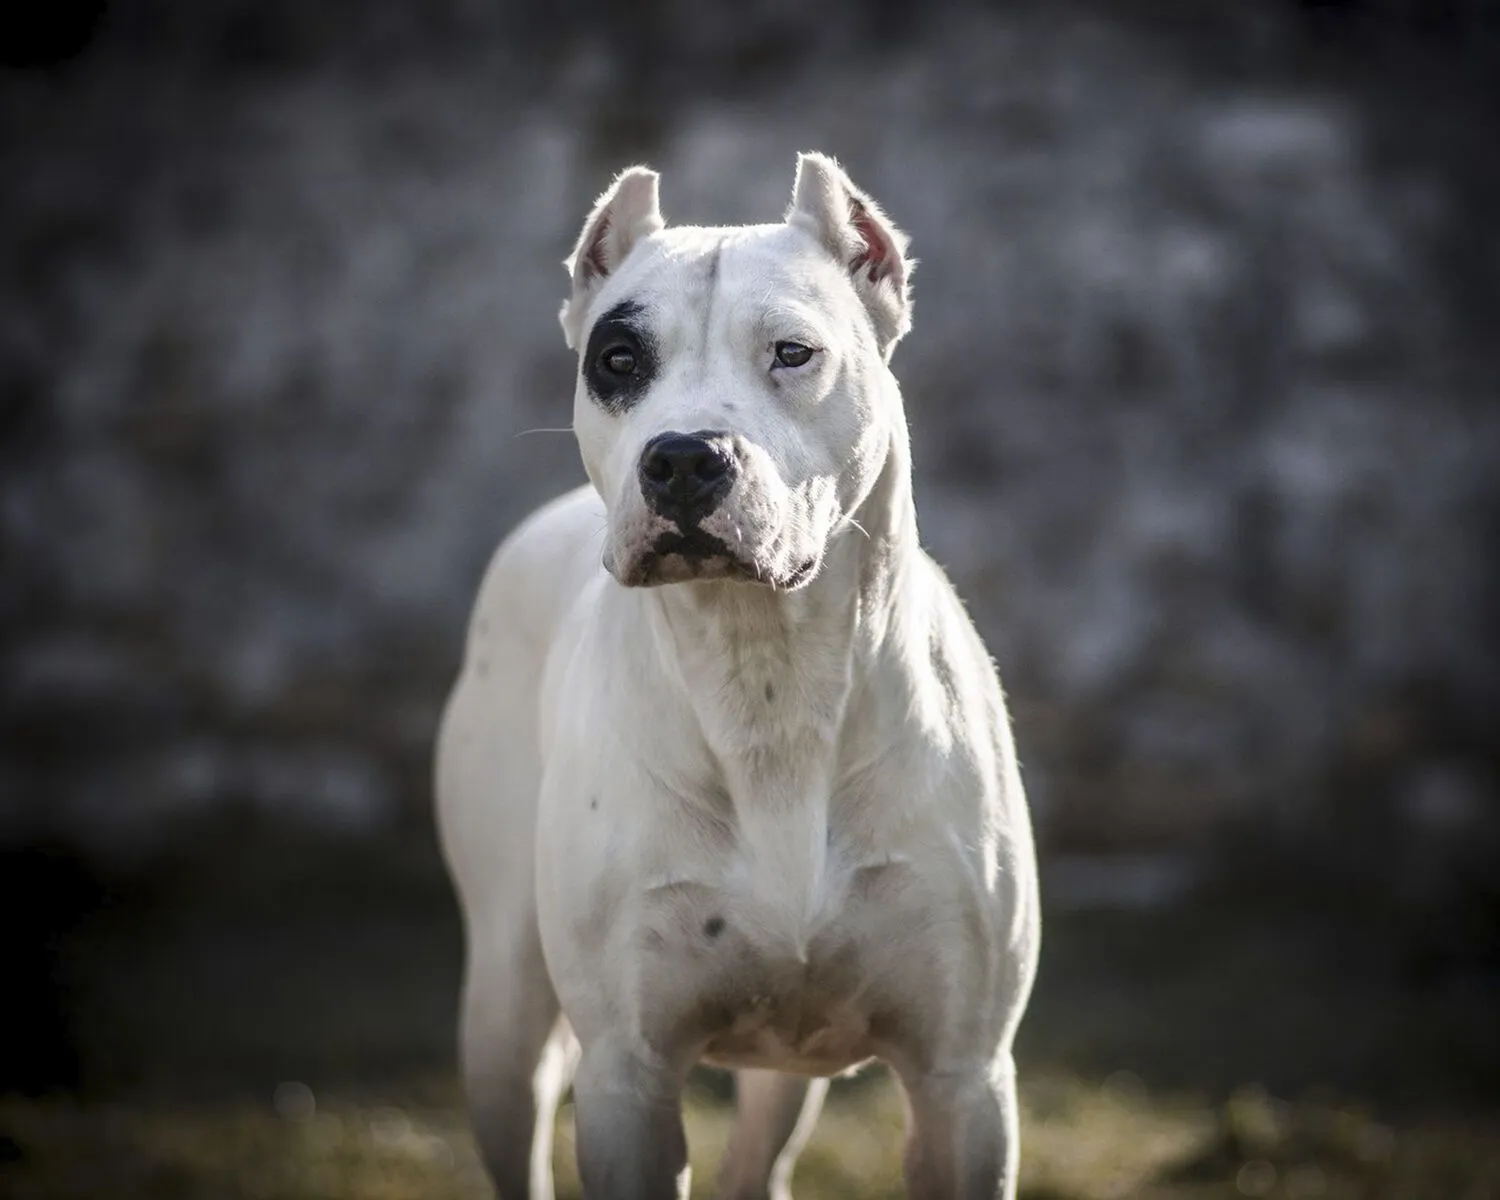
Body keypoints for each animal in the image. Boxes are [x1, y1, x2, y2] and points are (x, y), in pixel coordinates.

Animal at [438, 154, 1038, 1194]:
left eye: (793, 353)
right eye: (619, 360)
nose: (683, 458)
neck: (768, 676)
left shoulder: (964, 1083)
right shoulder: (627, 1078)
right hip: (504, 1017)